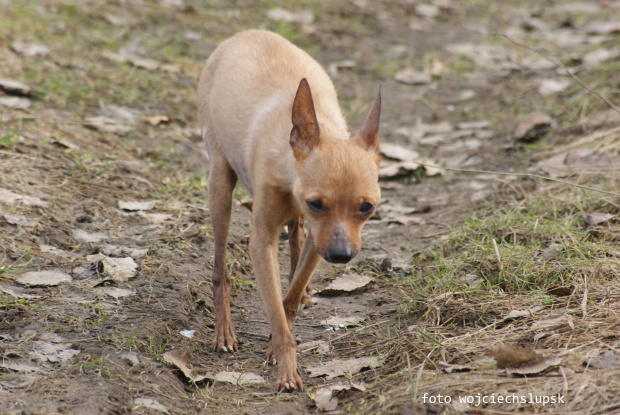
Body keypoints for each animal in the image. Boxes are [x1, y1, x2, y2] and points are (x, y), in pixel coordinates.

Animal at [199, 30, 382, 394]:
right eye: (317, 203)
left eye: (366, 208)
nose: (341, 255)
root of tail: (245, 33)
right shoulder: (263, 243)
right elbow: (274, 306)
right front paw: (285, 367)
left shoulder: (319, 241)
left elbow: (290, 298)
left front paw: (277, 338)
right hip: (220, 186)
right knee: (219, 266)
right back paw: (224, 331)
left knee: (296, 235)